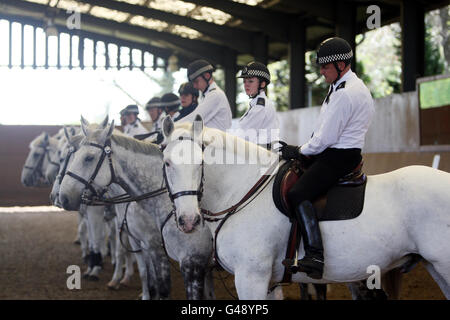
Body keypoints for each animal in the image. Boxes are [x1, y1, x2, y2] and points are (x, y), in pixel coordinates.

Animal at [57, 117, 214, 300]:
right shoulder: (143, 244)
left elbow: (161, 288)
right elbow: (148, 279)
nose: (62, 197)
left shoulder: (183, 259)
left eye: (88, 158)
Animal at [161, 116, 450, 298]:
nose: (188, 220)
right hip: (435, 267)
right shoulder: (267, 282)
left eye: (200, 162)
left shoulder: (251, 277)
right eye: (167, 163)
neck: (241, 191)